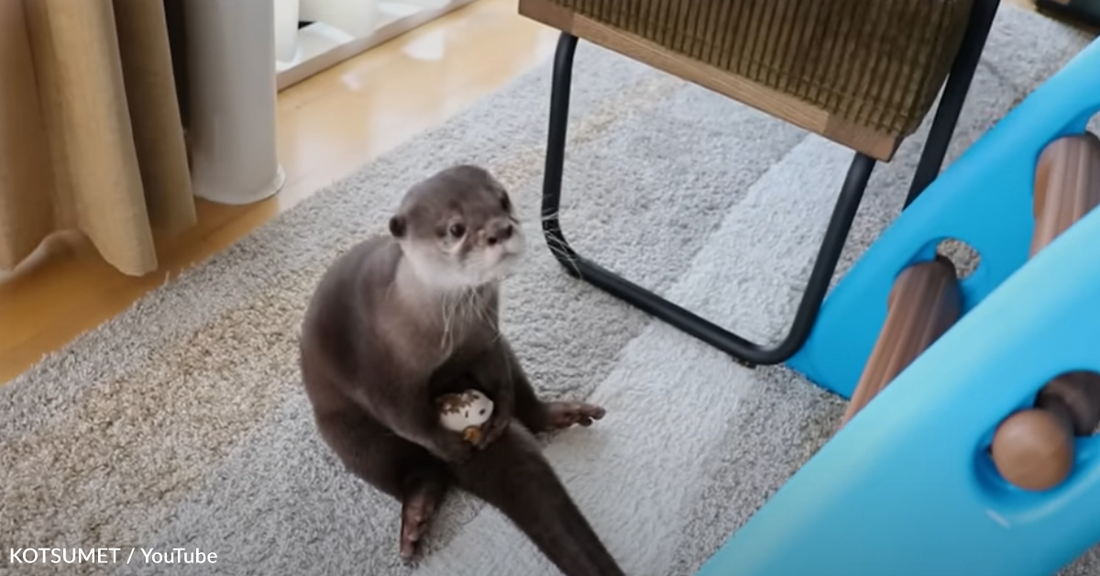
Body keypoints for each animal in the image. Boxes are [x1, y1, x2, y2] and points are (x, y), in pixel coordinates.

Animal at [299, 162, 629, 576]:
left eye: (503, 199)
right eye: (455, 228)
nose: (500, 229)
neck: (437, 331)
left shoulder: (486, 337)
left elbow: (498, 377)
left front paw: (500, 416)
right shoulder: (383, 376)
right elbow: (406, 418)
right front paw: (450, 445)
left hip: (507, 350)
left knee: (525, 401)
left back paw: (558, 413)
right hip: (345, 433)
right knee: (408, 468)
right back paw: (417, 510)